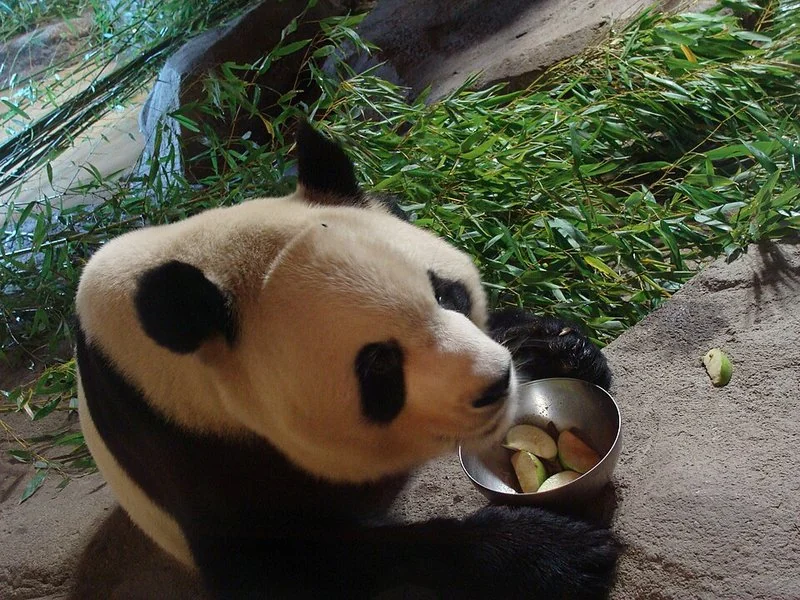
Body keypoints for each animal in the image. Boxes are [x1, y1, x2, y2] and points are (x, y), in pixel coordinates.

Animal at [75, 120, 619, 599]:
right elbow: (281, 568)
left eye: (448, 294)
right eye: (379, 364)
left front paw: (558, 350)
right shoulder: (184, 444)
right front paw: (555, 554)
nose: (496, 384)